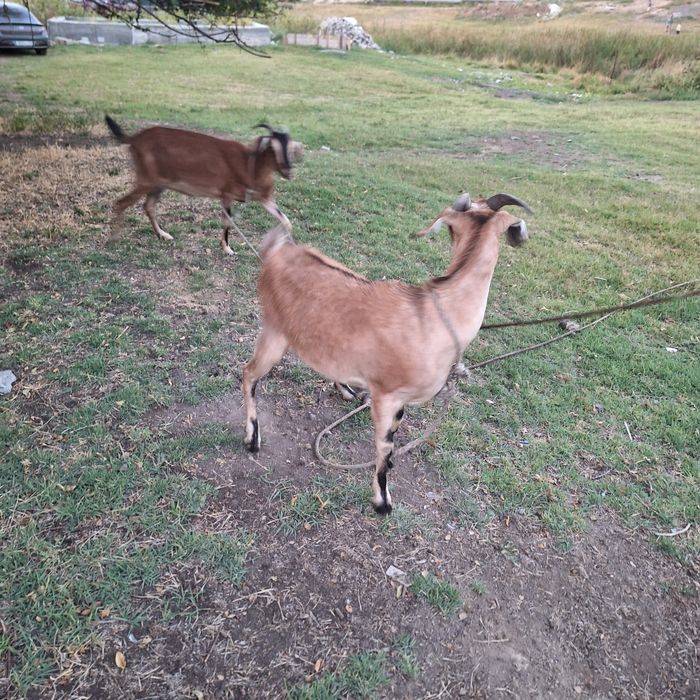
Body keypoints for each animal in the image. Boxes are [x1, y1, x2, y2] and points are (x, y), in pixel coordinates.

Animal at [104, 115, 302, 256]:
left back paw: (163, 235)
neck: (250, 164)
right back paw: (114, 238)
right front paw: (227, 249)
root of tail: (134, 139)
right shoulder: (226, 194)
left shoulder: (263, 198)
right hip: (146, 180)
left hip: (158, 184)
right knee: (121, 203)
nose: (288, 171)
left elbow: (286, 221)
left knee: (148, 206)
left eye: (290, 147)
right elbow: (227, 221)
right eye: (272, 147)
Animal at [242, 192, 532, 514]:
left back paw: (346, 388)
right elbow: (383, 444)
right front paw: (382, 501)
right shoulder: (385, 394)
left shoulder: (399, 398)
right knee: (249, 373)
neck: (436, 315)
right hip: (274, 331)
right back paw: (252, 439)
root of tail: (279, 251)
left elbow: (394, 434)